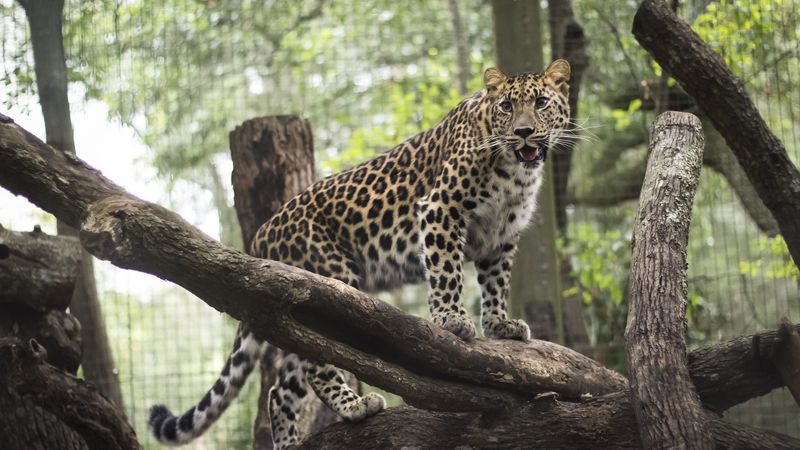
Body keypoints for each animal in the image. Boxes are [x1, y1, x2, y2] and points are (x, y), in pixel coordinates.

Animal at [148, 59, 571, 448]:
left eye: (541, 102)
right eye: (507, 107)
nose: (524, 132)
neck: (517, 174)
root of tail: (262, 236)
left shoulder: (502, 236)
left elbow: (496, 283)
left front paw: (500, 325)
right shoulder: (439, 208)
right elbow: (446, 269)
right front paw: (452, 321)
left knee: (281, 389)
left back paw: (292, 441)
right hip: (326, 285)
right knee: (314, 365)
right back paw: (355, 406)